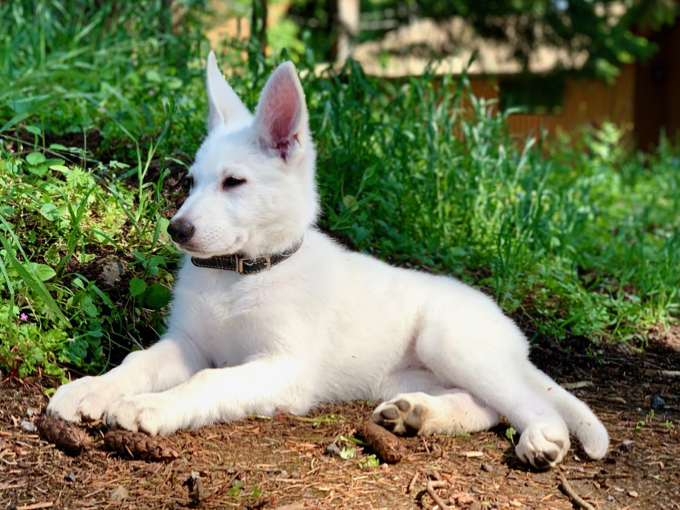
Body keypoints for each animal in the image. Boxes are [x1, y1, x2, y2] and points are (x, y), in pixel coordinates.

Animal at [50, 51, 608, 470]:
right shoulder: (188, 343)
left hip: (450, 341)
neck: (239, 276)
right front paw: (90, 390)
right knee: (488, 407)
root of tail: (511, 333)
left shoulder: (283, 367)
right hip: (402, 375)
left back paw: (543, 438)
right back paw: (416, 415)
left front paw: (150, 406)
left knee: (528, 403)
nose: (177, 230)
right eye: (191, 182)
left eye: (234, 182)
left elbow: (209, 381)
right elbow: (137, 361)